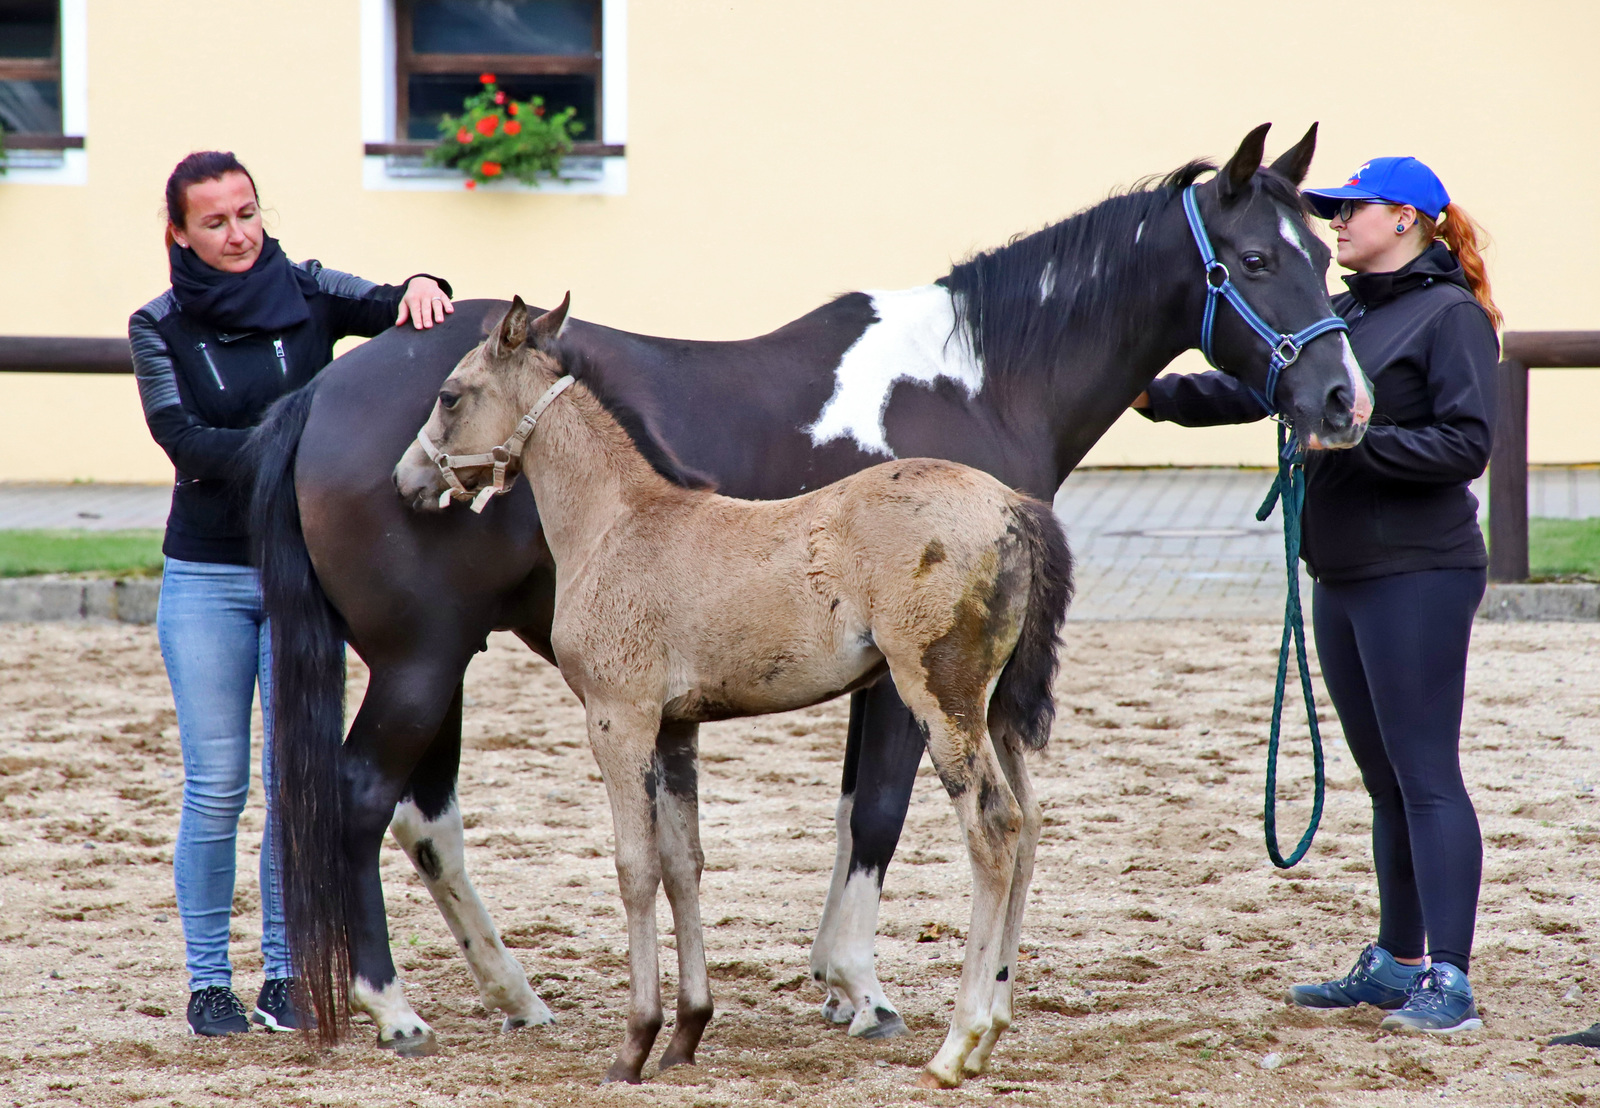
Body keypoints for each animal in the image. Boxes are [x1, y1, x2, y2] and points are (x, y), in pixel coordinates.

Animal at [256, 125, 1369, 1050]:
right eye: (1257, 261)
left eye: (1329, 264)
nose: (1341, 401)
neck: (972, 378)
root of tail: (326, 390)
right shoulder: (900, 682)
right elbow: (876, 813)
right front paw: (859, 987)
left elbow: (852, 815)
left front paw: (846, 983)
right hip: (419, 660)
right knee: (363, 800)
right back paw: (391, 1005)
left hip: (441, 662)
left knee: (425, 820)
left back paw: (513, 995)